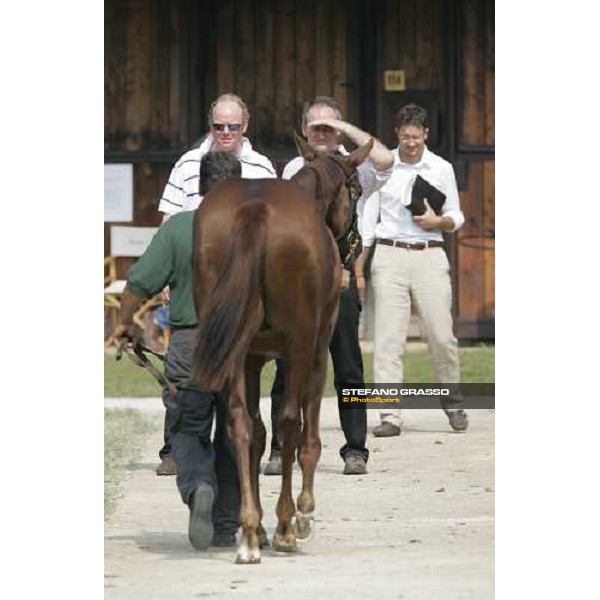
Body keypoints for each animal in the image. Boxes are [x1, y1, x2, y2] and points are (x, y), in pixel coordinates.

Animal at [192, 135, 372, 564]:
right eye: (356, 189)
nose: (354, 245)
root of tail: (254, 208)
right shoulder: (313, 351)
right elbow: (305, 437)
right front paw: (300, 516)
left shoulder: (253, 359)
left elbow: (257, 432)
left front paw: (257, 526)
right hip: (302, 345)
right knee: (290, 422)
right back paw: (289, 523)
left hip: (233, 348)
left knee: (239, 423)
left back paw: (249, 534)